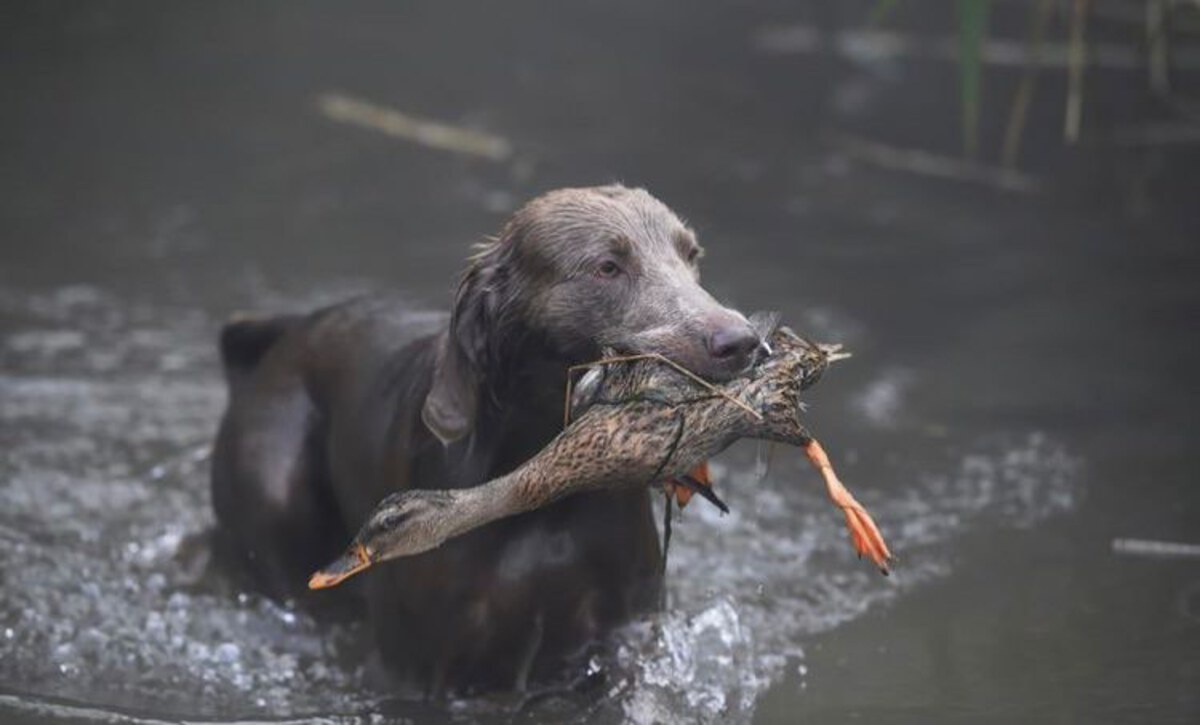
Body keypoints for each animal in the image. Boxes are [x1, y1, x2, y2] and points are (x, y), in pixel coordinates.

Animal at [210, 183, 753, 696]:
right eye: (607, 267)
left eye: (691, 255)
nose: (743, 342)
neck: (545, 504)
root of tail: (281, 335)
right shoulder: (420, 667)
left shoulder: (623, 630)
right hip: (276, 497)